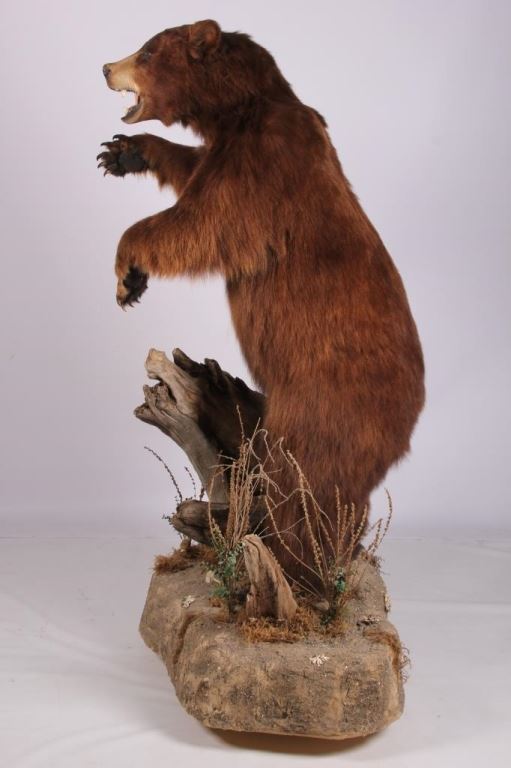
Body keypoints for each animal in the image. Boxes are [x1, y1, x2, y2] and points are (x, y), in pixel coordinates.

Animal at [98, 20, 425, 582]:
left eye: (146, 50)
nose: (104, 67)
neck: (240, 107)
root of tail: (408, 423)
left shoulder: (266, 166)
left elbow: (205, 221)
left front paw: (127, 276)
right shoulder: (228, 149)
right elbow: (193, 167)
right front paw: (125, 151)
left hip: (326, 406)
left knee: (304, 486)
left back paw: (278, 554)